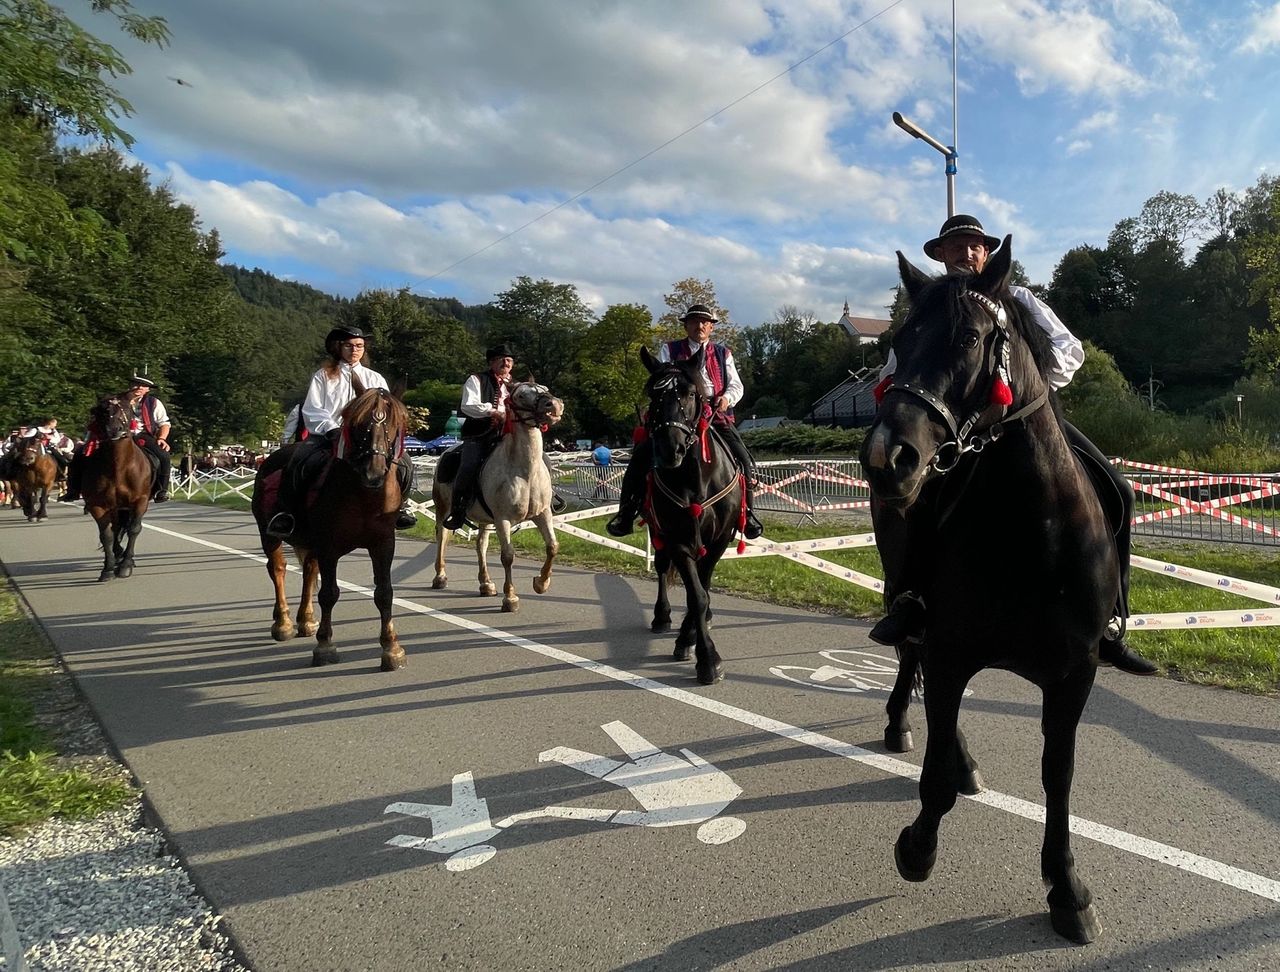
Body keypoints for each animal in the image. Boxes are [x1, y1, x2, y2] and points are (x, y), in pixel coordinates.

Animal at [80, 396, 153, 581]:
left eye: (127, 409)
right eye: (103, 411)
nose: (115, 430)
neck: (118, 468)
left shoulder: (140, 501)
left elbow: (134, 529)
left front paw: (125, 566)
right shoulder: (98, 506)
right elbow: (106, 535)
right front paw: (107, 569)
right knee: (116, 528)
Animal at [249, 384, 409, 671]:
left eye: (394, 423)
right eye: (358, 423)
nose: (374, 473)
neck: (363, 495)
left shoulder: (383, 544)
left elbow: (384, 593)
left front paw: (391, 648)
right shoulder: (328, 546)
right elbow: (329, 593)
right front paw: (324, 646)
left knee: (309, 571)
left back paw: (305, 620)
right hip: (270, 536)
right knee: (277, 569)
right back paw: (283, 623)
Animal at [645, 345, 747, 686]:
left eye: (690, 393)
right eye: (653, 395)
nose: (670, 450)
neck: (695, 479)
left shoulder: (719, 539)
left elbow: (702, 591)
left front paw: (691, 640)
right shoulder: (678, 539)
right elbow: (696, 595)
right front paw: (707, 658)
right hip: (657, 532)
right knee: (662, 568)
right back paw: (662, 617)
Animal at [860, 239, 1121, 947]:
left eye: (972, 338)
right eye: (899, 340)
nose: (886, 457)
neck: (1032, 535)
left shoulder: (1074, 674)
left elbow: (1058, 778)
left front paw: (1067, 888)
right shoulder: (952, 650)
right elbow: (934, 780)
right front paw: (917, 847)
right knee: (909, 658)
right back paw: (906, 728)